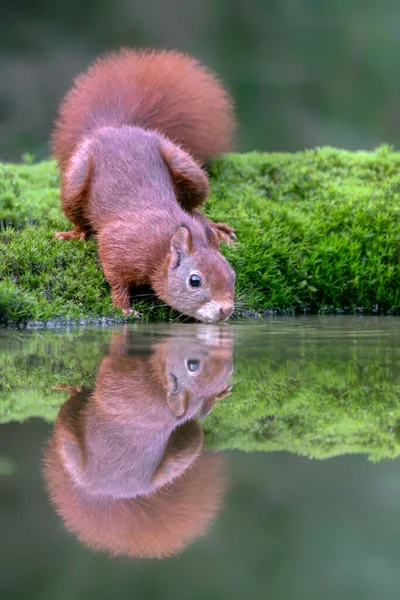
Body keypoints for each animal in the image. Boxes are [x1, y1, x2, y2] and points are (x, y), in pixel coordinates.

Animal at [43, 328, 231, 556]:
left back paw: (74, 390)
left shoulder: (124, 385)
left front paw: (120, 339)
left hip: (69, 445)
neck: (160, 386)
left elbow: (109, 367)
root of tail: (111, 494)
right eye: (230, 369)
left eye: (192, 365)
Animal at [51, 49, 236, 324]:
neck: (162, 247)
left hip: (187, 168)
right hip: (76, 178)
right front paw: (123, 306)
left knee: (194, 203)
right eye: (194, 281)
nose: (227, 310)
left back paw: (214, 226)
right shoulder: (118, 244)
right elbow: (116, 278)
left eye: (232, 274)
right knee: (78, 215)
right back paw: (75, 232)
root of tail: (114, 128)